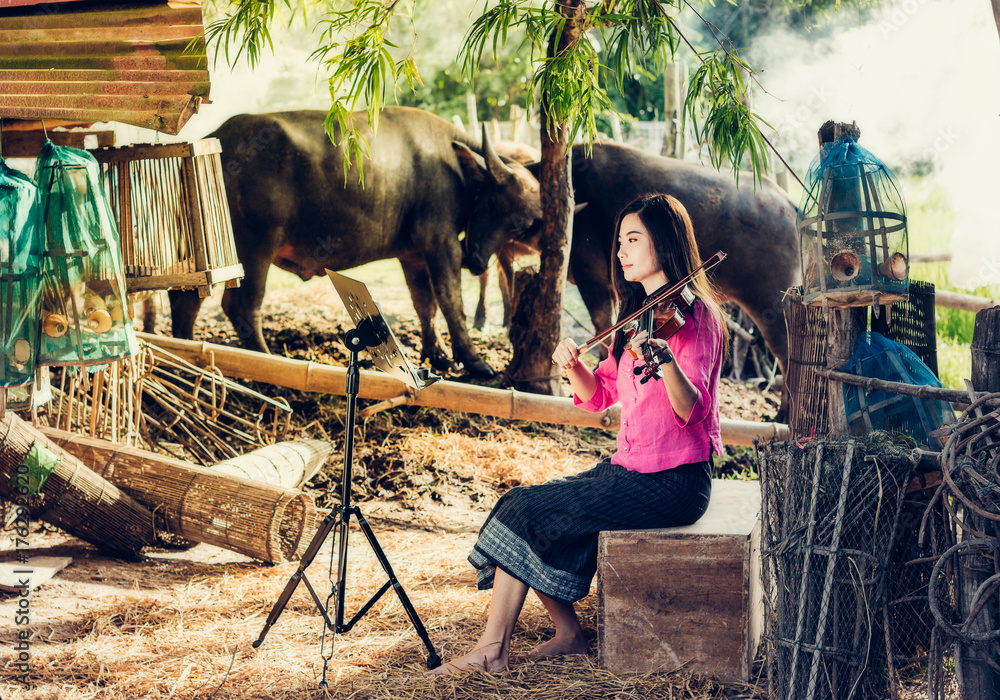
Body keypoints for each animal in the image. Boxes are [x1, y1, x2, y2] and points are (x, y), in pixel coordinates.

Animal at [167, 106, 540, 374]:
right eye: (493, 203)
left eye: (523, 225)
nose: (475, 258)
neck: (452, 163)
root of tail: (215, 141)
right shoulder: (441, 242)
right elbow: (450, 300)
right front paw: (473, 361)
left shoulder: (413, 253)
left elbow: (424, 304)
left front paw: (437, 355)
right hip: (254, 248)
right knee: (243, 305)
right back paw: (265, 357)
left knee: (186, 300)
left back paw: (184, 350)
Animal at [458, 140, 800, 386]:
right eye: (481, 198)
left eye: (490, 200)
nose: (470, 254)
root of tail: (789, 204)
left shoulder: (592, 280)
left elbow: (602, 324)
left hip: (771, 306)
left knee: (789, 357)